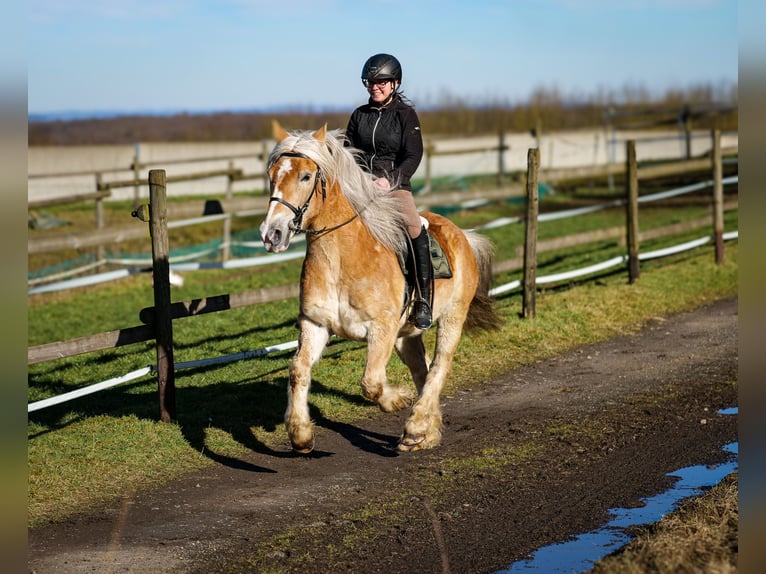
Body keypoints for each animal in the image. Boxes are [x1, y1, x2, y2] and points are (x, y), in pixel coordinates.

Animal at [260, 121, 500, 454]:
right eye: (272, 176)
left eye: (306, 176)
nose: (272, 234)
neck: (342, 260)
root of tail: (463, 235)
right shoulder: (315, 324)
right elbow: (297, 370)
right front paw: (300, 435)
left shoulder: (381, 329)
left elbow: (371, 383)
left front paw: (397, 399)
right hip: (406, 335)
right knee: (423, 369)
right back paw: (426, 433)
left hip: (452, 317)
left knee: (440, 365)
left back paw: (416, 427)